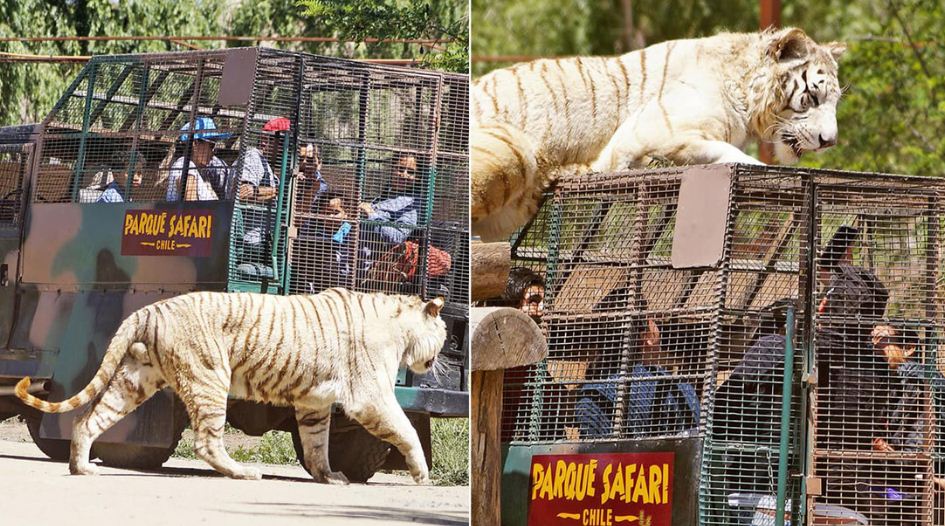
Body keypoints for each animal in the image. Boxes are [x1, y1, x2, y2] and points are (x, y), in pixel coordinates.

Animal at [16, 288, 446, 486]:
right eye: (443, 333)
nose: (439, 358)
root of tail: (150, 308)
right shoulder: (370, 396)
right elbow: (406, 430)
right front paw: (423, 474)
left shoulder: (313, 402)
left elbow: (317, 444)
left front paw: (329, 477)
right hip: (209, 378)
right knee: (206, 442)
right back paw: (244, 473)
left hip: (134, 380)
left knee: (88, 420)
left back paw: (82, 467)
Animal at [472, 27, 848, 242]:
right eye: (813, 96)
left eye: (834, 101)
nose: (830, 141)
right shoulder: (655, 127)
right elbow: (727, 153)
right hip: (511, 149)